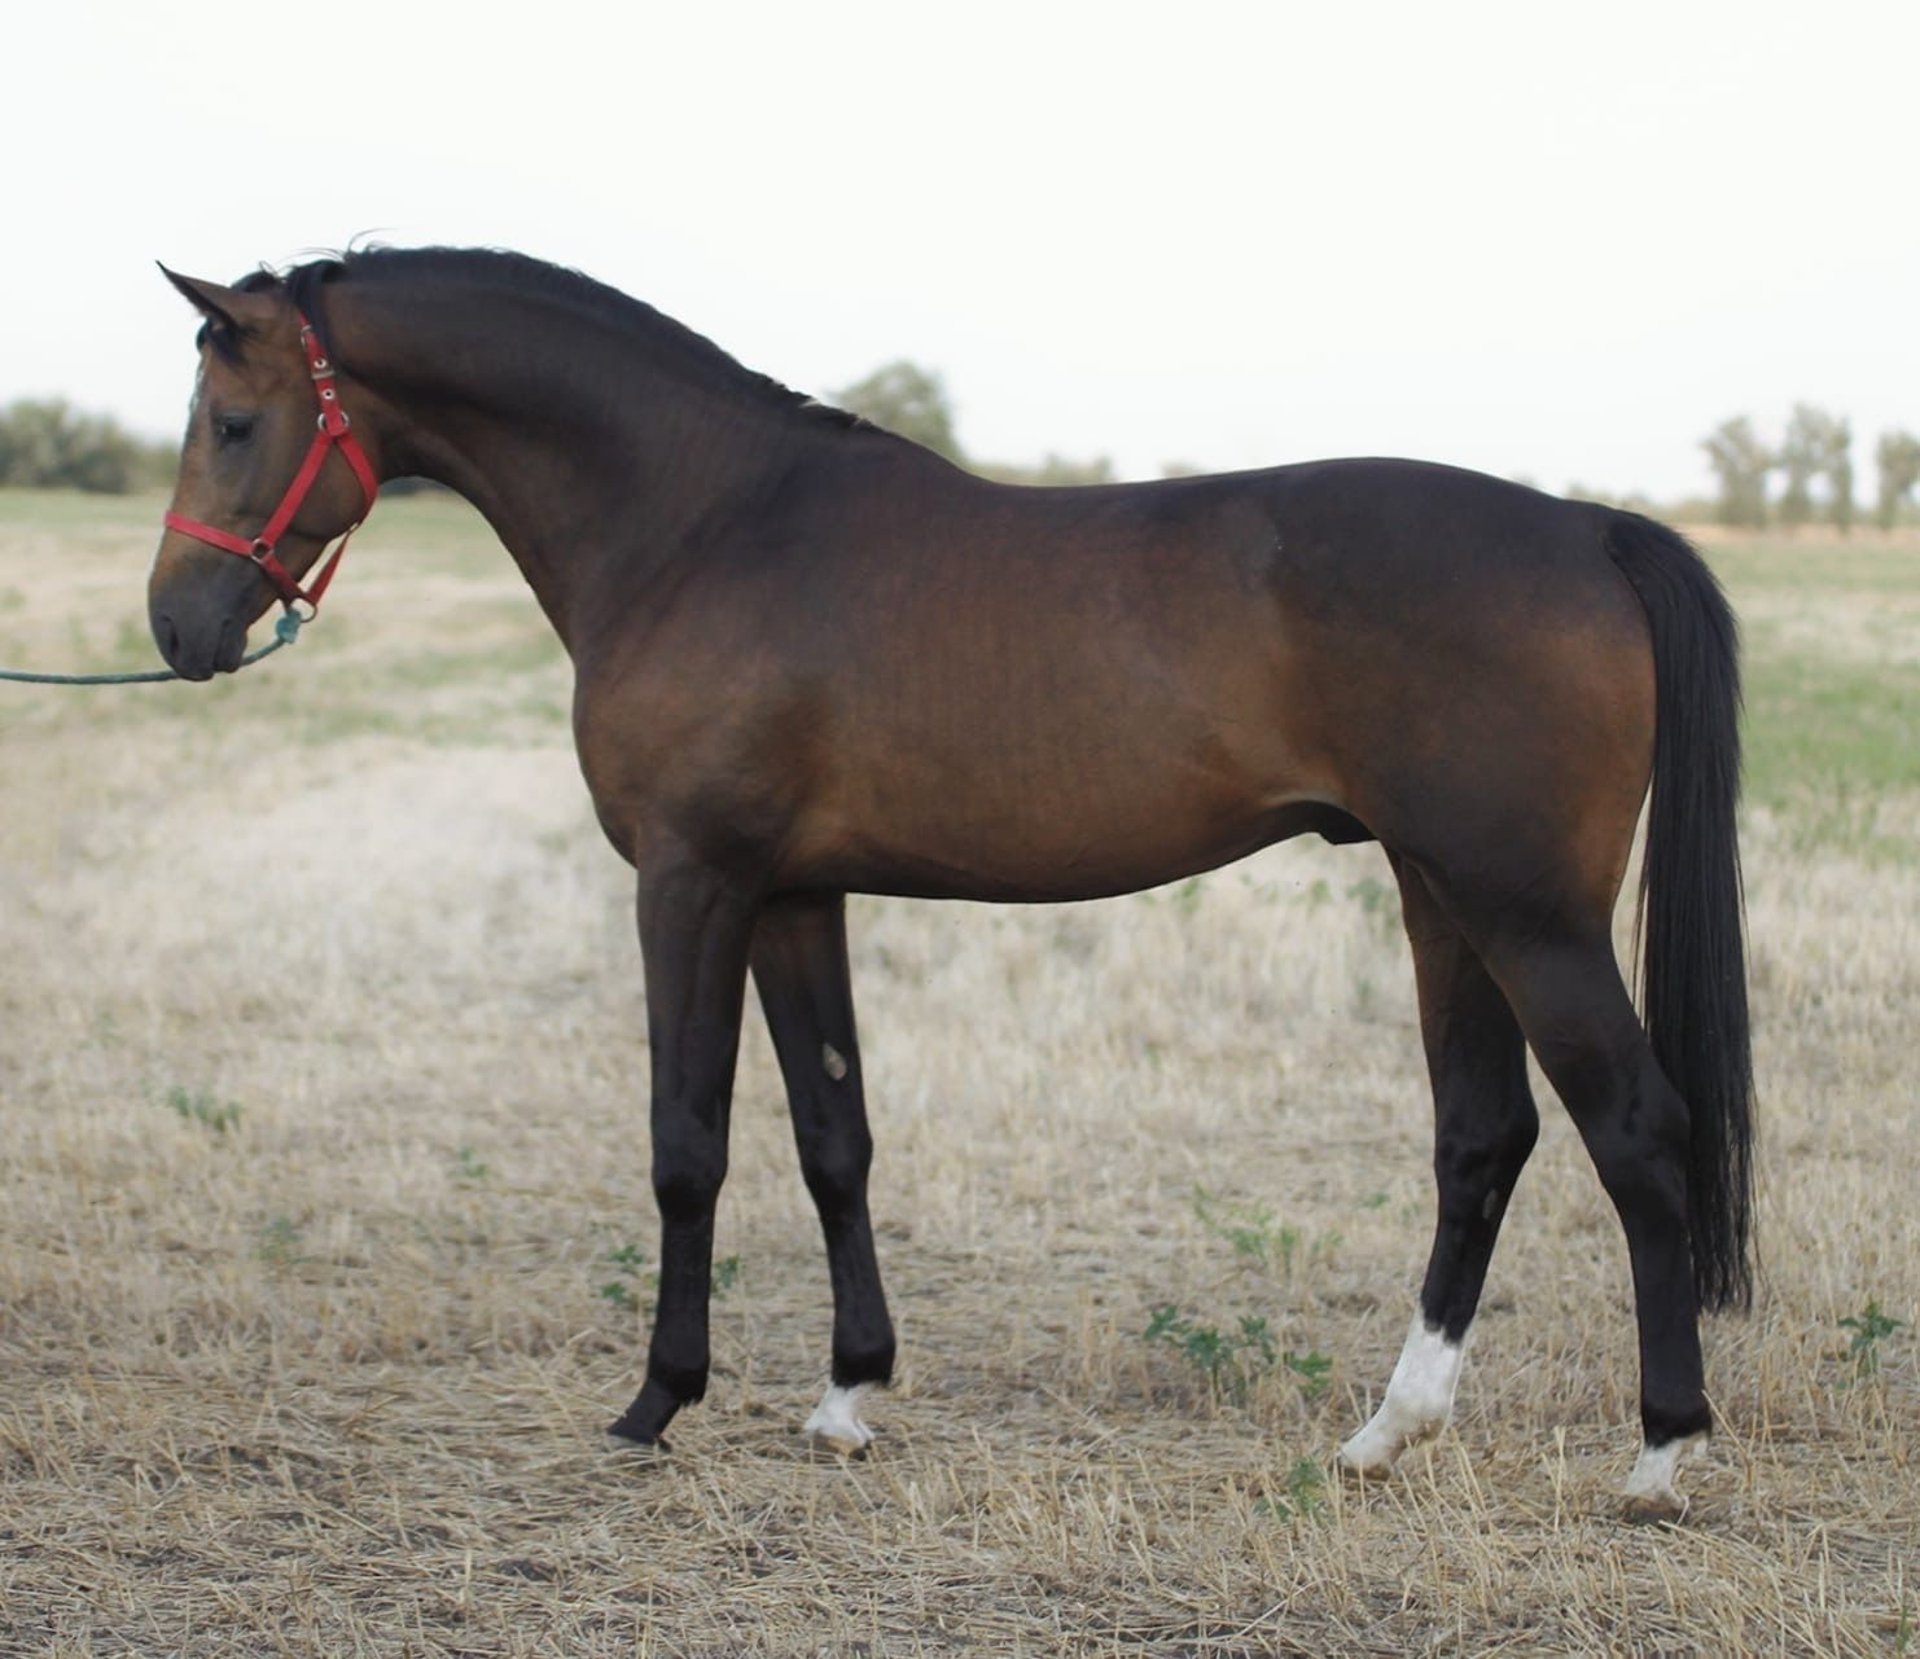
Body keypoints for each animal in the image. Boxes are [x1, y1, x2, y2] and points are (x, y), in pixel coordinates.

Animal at [149, 245, 1758, 1513]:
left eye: (234, 419)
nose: (176, 626)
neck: (703, 522)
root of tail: (1590, 529)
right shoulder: (794, 898)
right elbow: (832, 1137)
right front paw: (849, 1393)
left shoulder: (690, 881)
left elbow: (687, 1144)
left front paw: (657, 1400)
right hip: (1443, 898)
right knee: (1484, 1136)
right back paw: (1389, 1430)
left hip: (1526, 913)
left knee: (1638, 1128)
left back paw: (1662, 1452)